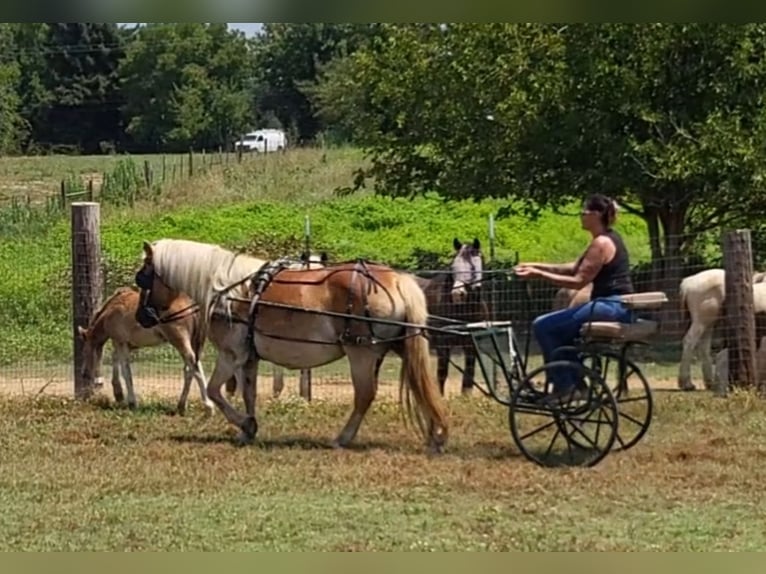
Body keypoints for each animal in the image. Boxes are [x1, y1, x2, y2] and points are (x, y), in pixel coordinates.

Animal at [77, 288, 214, 418]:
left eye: (84, 352)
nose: (84, 373)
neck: (109, 312)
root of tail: (190, 303)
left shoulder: (120, 342)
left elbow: (126, 372)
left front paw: (132, 402)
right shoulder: (127, 345)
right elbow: (116, 359)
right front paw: (118, 394)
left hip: (180, 341)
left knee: (193, 366)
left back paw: (209, 407)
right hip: (194, 343)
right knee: (190, 369)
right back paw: (181, 406)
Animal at [416, 237, 488, 396]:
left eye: (472, 267)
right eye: (453, 267)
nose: (457, 294)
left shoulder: (471, 343)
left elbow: (469, 372)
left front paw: (466, 397)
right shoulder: (443, 343)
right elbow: (442, 372)